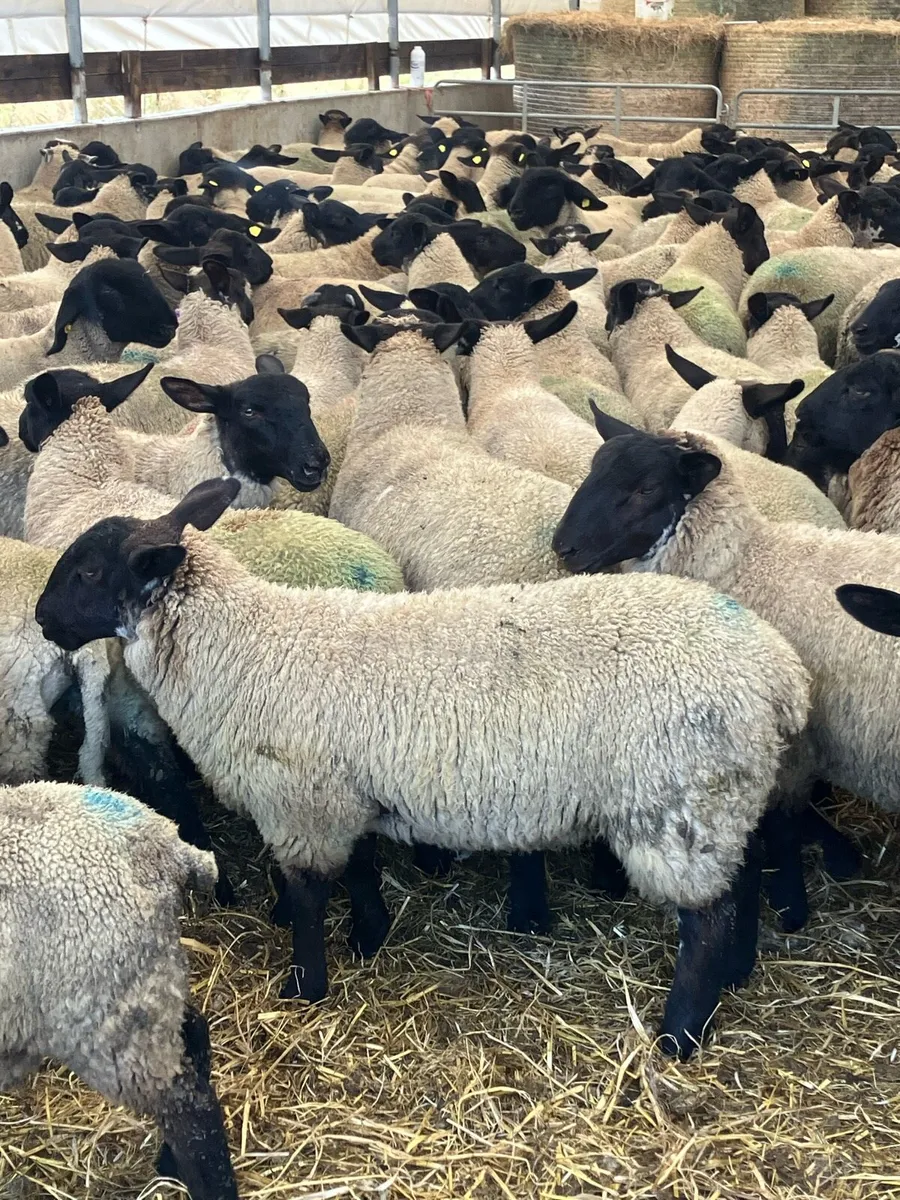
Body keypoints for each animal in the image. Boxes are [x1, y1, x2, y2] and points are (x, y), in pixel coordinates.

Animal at [0, 779, 237, 1200]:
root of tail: (168, 847)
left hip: (104, 1007)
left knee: (189, 1107)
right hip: (145, 983)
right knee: (194, 1035)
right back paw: (168, 1164)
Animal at [36, 476, 810, 1057]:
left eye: (89, 570)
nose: (43, 620)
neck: (242, 643)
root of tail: (782, 674)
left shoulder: (300, 804)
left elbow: (310, 897)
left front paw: (305, 985)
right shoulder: (340, 793)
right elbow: (358, 869)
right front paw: (369, 936)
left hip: (678, 804)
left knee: (706, 921)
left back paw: (680, 1034)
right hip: (721, 798)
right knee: (742, 883)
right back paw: (735, 979)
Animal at [553, 422, 900, 928]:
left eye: (646, 489)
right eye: (593, 470)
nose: (563, 547)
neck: (746, 565)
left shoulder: (793, 746)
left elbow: (784, 826)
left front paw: (791, 901)